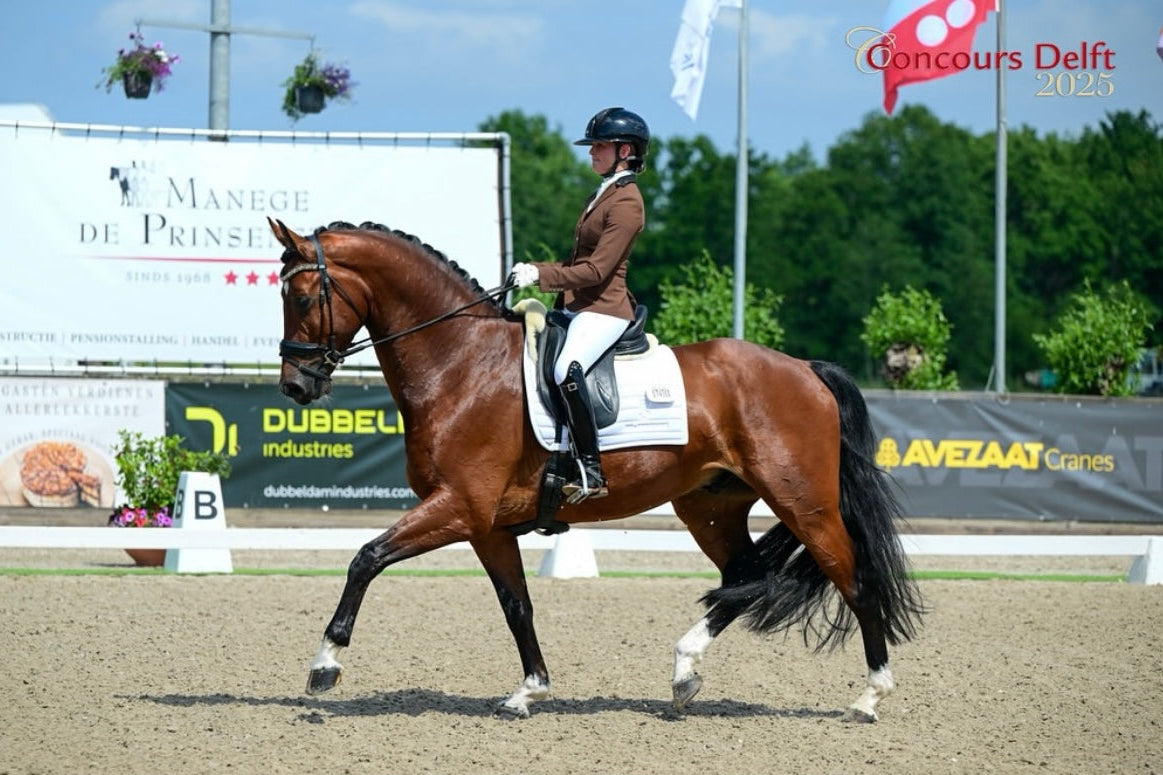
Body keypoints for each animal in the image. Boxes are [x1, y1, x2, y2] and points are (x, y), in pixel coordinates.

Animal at [270, 218, 924, 722]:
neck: (460, 363)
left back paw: (870, 698)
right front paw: (528, 691)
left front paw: (325, 664)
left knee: (855, 580)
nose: (296, 387)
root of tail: (807, 369)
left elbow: (366, 558)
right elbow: (517, 606)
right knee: (745, 577)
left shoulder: (459, 506)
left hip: (804, 502)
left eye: (300, 298)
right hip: (710, 505)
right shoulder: (486, 525)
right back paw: (684, 673)